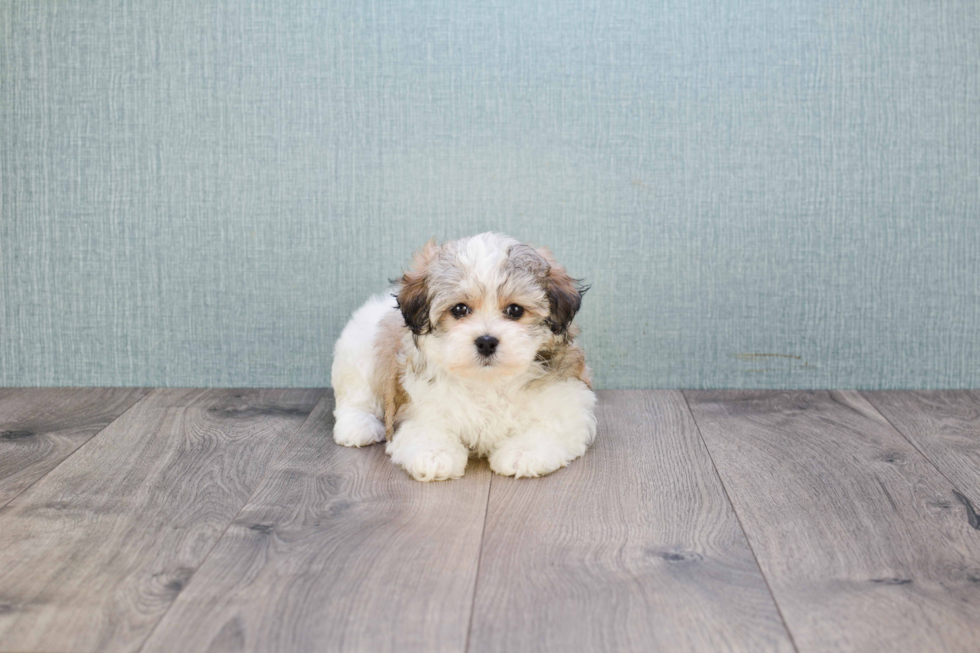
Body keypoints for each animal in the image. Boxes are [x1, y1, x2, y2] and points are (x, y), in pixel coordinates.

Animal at [332, 232, 596, 482]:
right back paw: (358, 426)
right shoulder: (413, 403)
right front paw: (434, 454)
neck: (488, 381)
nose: (486, 341)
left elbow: (554, 426)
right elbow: (425, 427)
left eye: (515, 310)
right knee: (355, 397)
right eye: (459, 309)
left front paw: (524, 452)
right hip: (358, 353)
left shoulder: (566, 400)